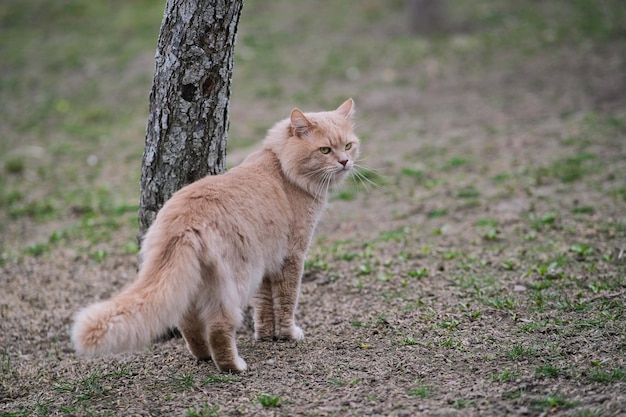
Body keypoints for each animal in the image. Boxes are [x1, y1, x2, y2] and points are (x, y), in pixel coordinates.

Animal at [70, 99, 358, 372]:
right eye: (325, 150)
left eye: (348, 145)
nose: (344, 161)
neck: (282, 169)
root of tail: (183, 221)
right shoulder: (292, 256)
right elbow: (286, 301)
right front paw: (288, 335)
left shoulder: (267, 262)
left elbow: (265, 305)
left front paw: (266, 336)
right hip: (236, 281)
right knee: (219, 326)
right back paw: (233, 365)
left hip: (198, 280)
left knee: (188, 322)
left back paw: (204, 356)